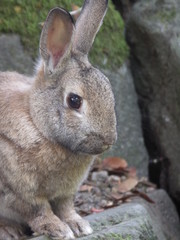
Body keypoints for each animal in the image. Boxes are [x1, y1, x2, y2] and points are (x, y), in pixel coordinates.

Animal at [0, 0, 116, 239]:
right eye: (74, 100)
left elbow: (65, 207)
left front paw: (78, 225)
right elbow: (39, 210)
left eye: (108, 88)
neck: (38, 125)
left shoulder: (66, 193)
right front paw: (58, 229)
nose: (108, 140)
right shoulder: (20, 192)